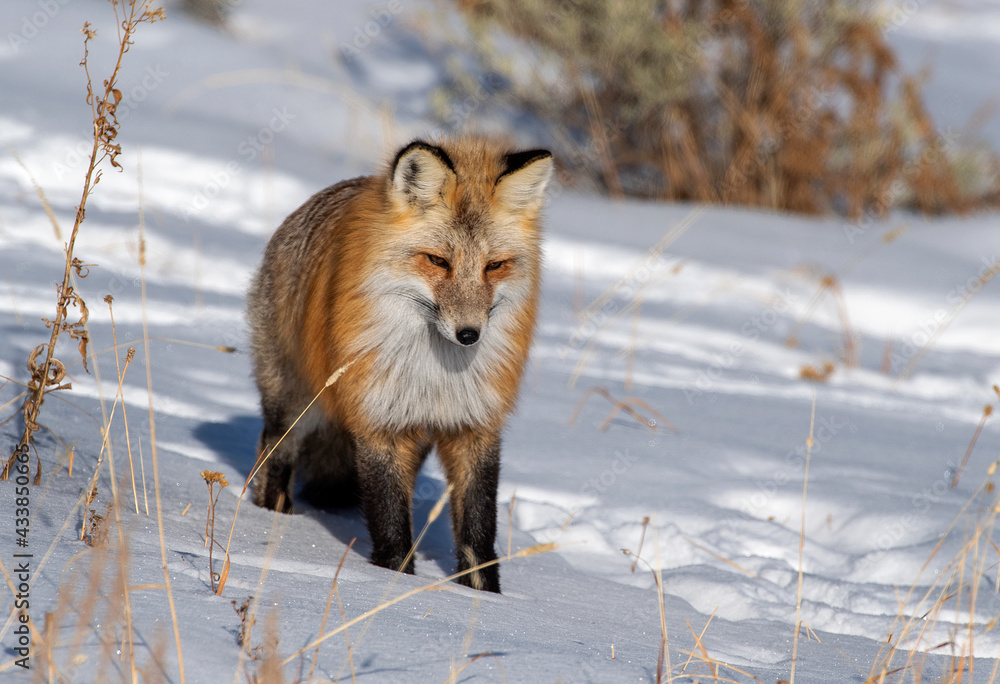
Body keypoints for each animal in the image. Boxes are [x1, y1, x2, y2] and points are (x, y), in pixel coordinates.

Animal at [246, 137, 553, 593]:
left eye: (494, 266)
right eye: (438, 261)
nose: (469, 334)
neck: (433, 375)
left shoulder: (475, 426)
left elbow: (478, 532)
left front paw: (486, 597)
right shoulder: (379, 420)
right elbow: (389, 521)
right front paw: (394, 583)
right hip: (294, 405)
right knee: (275, 458)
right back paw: (273, 517)